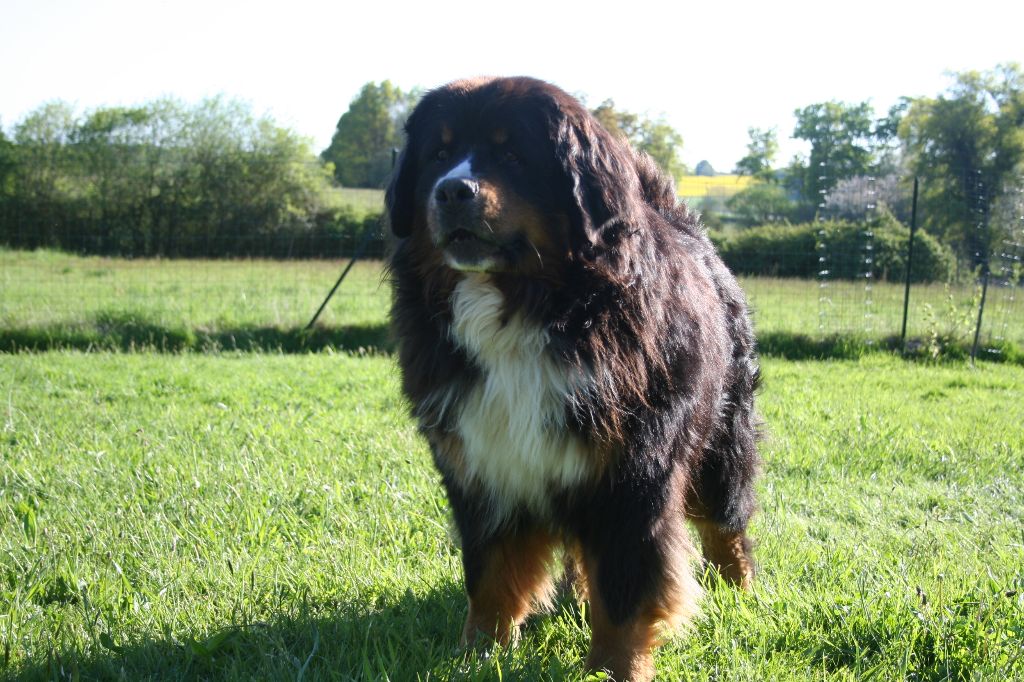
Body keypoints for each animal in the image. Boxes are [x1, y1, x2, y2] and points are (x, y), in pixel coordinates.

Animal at [380, 76, 757, 675]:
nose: (452, 190)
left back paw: (742, 595)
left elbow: (625, 590)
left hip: (723, 445)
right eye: (438, 154)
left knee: (727, 528)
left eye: (512, 155)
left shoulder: (632, 475)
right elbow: (490, 575)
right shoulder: (484, 468)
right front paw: (476, 653)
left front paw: (613, 668)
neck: (535, 308)